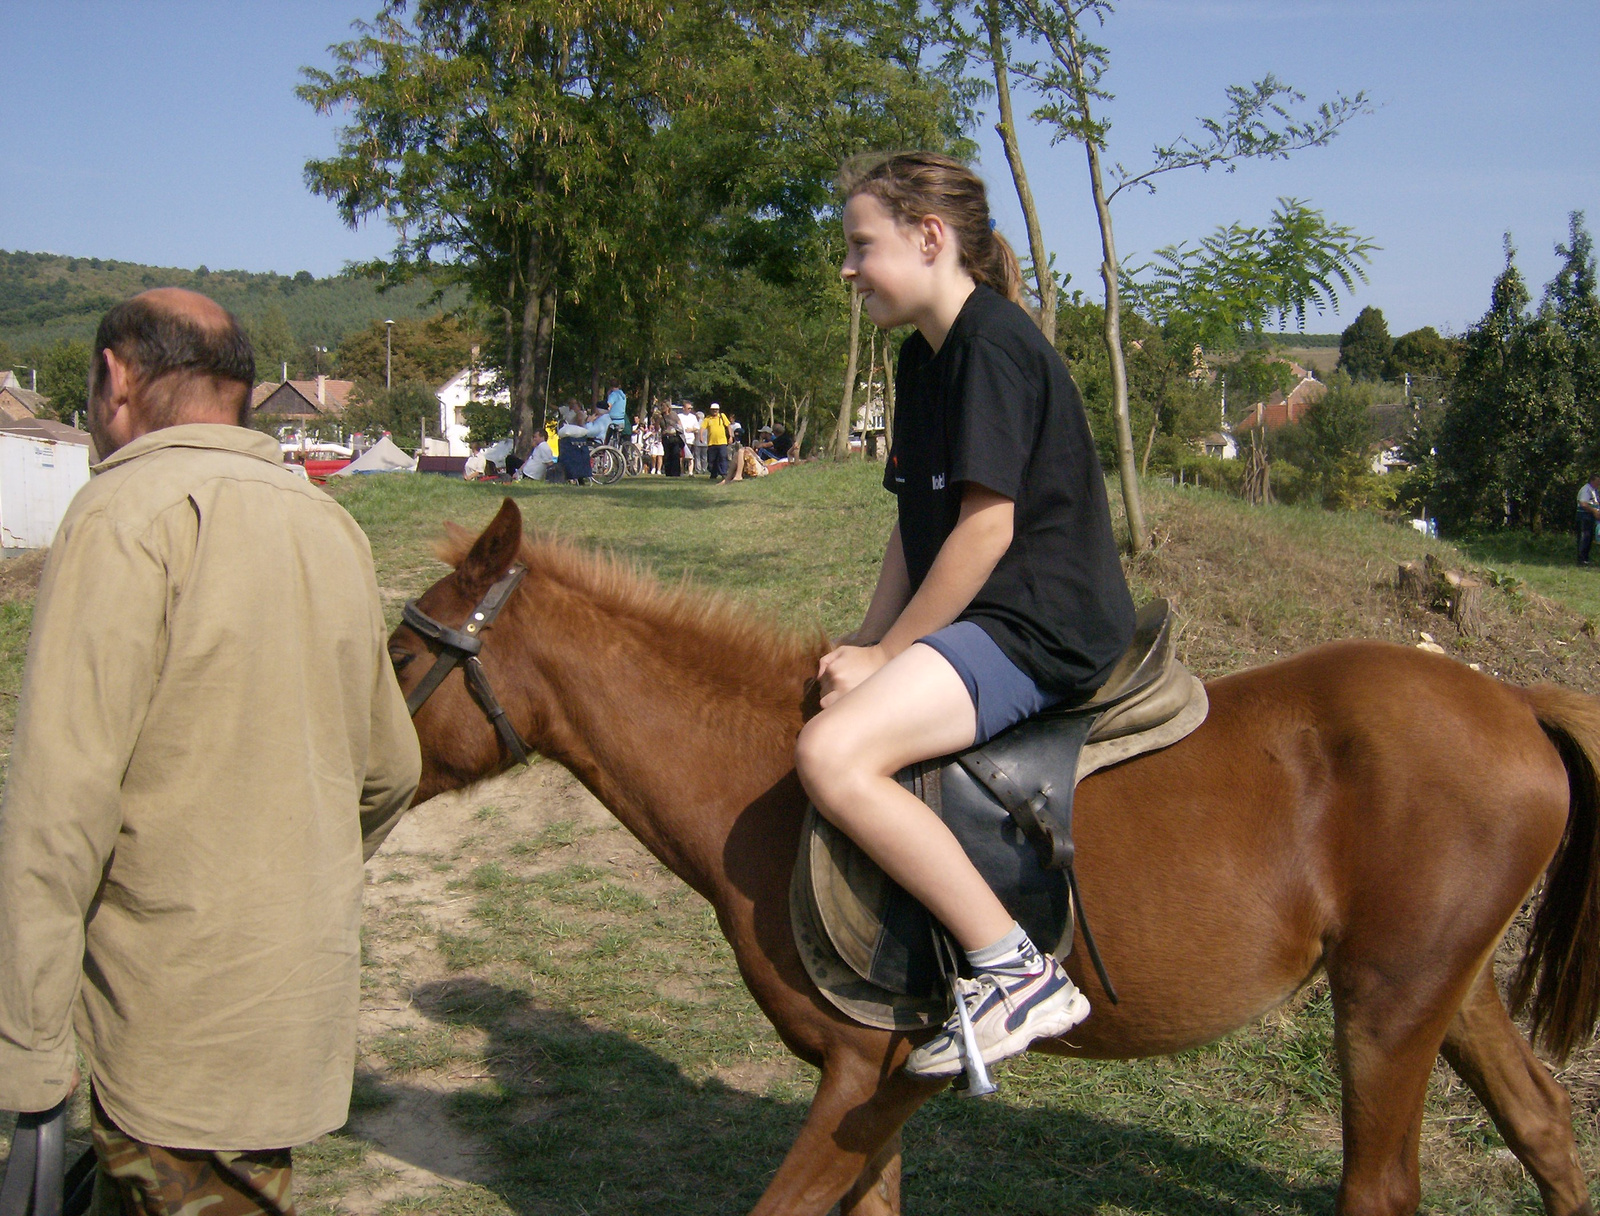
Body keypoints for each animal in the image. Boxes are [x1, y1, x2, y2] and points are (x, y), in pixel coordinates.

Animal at [387, 499, 1600, 1209]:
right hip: (1439, 991)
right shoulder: (872, 1096)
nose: (364, 783)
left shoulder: (855, 1077)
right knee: (1544, 1128)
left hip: (1387, 1015)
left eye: (401, 653)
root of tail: (1512, 701)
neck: (760, 780)